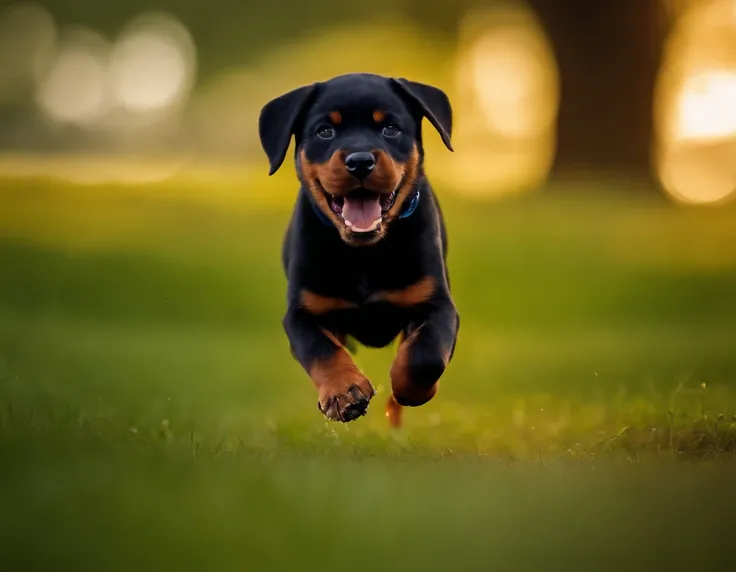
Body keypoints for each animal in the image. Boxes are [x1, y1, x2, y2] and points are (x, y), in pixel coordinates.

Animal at [256, 71, 458, 426]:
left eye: (390, 128)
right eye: (325, 131)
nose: (360, 161)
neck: (364, 252)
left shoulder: (437, 304)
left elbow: (426, 354)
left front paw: (410, 389)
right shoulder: (302, 313)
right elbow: (322, 350)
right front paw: (343, 393)